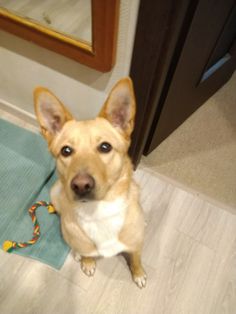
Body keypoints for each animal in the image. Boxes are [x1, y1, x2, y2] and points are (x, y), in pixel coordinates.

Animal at [34, 78, 147, 288]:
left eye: (105, 147)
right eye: (66, 151)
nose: (81, 185)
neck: (99, 211)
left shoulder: (135, 245)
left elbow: (136, 258)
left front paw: (138, 273)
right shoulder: (82, 242)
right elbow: (87, 253)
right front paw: (86, 261)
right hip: (55, 194)